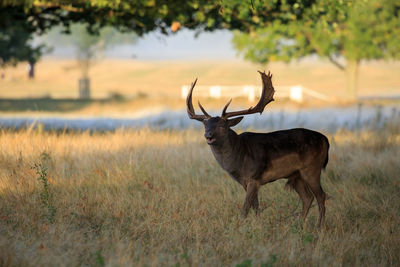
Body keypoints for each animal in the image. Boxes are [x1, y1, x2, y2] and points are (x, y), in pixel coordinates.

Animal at [186, 71, 330, 228]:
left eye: (222, 126)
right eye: (205, 125)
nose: (208, 135)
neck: (239, 157)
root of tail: (326, 140)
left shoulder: (254, 177)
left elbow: (246, 207)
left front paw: (241, 226)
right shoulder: (245, 181)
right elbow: (255, 206)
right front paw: (257, 224)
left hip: (312, 169)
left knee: (321, 195)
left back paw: (319, 226)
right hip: (296, 175)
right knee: (307, 197)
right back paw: (299, 224)